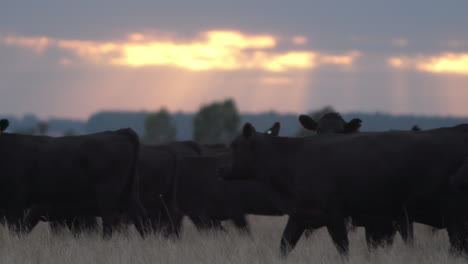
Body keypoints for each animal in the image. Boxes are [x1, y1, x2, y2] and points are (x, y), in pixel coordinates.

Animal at [0, 128, 147, 237]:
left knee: (110, 221)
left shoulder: (16, 200)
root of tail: (118, 132)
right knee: (140, 218)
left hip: (108, 195)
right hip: (130, 192)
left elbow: (16, 229)